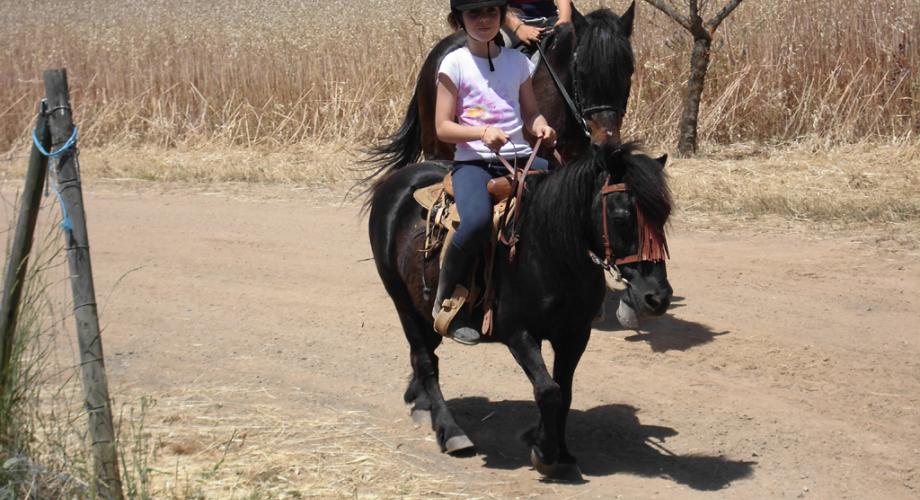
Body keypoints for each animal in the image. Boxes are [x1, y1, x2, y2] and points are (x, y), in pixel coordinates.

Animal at [368, 143, 676, 478]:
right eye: (621, 216)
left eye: (663, 216)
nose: (657, 297)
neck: (549, 252)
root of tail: (398, 181)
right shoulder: (519, 333)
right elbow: (548, 390)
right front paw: (544, 452)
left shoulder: (575, 334)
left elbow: (564, 391)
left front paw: (559, 449)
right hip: (403, 303)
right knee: (425, 361)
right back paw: (451, 432)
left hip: (425, 312)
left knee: (428, 354)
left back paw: (422, 405)